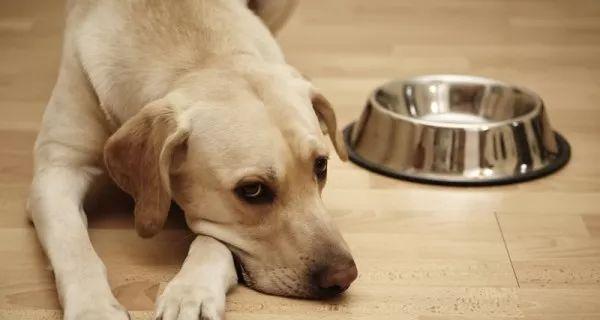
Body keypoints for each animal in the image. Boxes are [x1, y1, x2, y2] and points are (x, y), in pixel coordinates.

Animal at [27, 1, 356, 318]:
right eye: (253, 190)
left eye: (321, 166)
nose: (345, 276)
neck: (199, 57)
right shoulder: (56, 170)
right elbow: (74, 247)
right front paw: (93, 308)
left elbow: (212, 241)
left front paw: (191, 292)